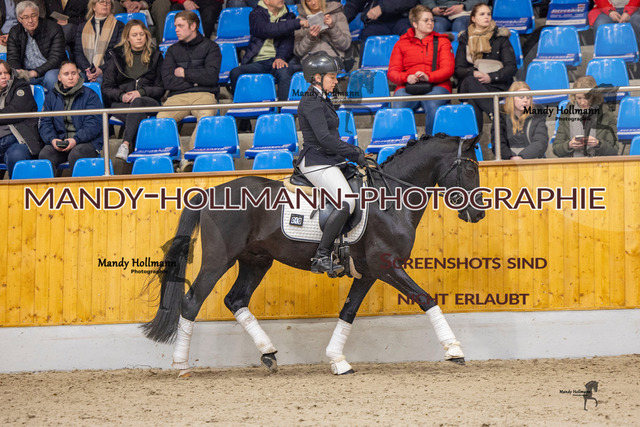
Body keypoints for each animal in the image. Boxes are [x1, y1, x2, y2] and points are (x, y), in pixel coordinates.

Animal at [142, 133, 486, 376]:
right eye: (470, 168)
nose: (478, 214)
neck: (390, 199)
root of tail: (209, 192)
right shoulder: (386, 265)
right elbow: (426, 298)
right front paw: (454, 350)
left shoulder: (369, 272)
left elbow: (348, 311)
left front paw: (338, 360)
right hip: (218, 260)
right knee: (192, 302)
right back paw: (181, 366)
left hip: (256, 260)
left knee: (235, 300)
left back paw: (268, 352)